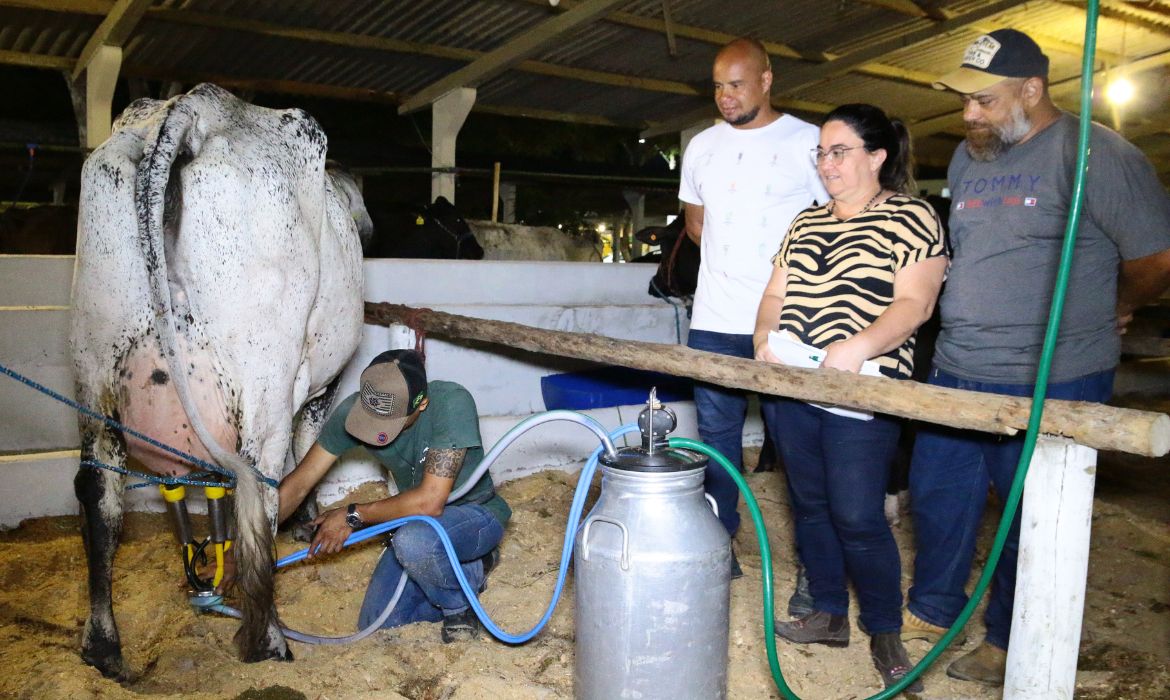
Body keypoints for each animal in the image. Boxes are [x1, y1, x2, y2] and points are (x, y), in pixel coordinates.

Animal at [70, 83, 367, 678]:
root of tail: (192, 109)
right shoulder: (315, 389)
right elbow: (309, 450)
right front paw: (309, 520)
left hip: (94, 366)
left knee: (99, 494)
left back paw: (103, 647)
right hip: (262, 379)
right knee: (259, 489)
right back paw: (268, 640)